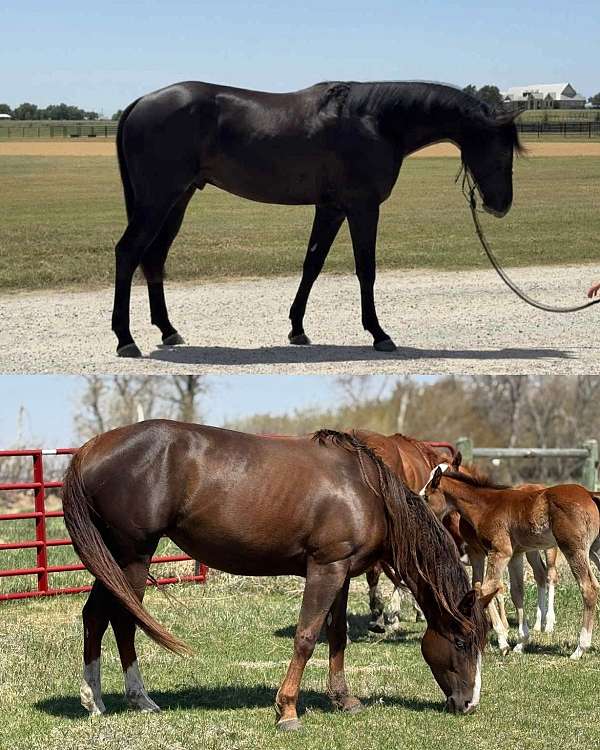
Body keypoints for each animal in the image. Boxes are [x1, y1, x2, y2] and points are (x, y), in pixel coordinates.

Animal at [61, 422, 495, 729]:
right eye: (461, 641)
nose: (469, 704)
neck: (367, 491)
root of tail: (90, 449)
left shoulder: (342, 573)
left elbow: (337, 636)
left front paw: (343, 699)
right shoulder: (324, 569)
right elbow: (306, 637)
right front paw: (287, 711)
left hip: (113, 559)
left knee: (94, 616)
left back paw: (93, 700)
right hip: (133, 555)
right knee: (122, 619)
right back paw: (140, 699)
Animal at [111, 80, 522, 357]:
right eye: (502, 151)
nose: (500, 205)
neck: (374, 120)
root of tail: (141, 102)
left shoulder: (331, 209)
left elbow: (312, 264)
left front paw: (297, 329)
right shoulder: (362, 207)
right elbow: (366, 269)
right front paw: (379, 334)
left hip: (177, 200)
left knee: (154, 257)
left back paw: (168, 330)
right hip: (158, 201)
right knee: (128, 252)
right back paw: (125, 339)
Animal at [424, 466, 600, 659]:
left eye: (426, 496)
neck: (486, 506)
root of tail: (590, 494)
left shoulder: (500, 552)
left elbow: (485, 589)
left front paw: (501, 642)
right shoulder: (515, 555)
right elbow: (516, 593)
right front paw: (521, 643)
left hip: (573, 549)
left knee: (588, 588)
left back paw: (580, 649)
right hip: (593, 551)